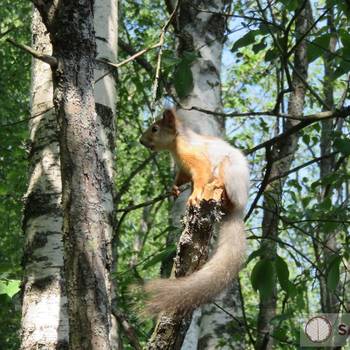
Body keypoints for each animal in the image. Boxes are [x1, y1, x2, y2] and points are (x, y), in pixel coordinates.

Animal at [139, 108, 249, 314]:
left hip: (228, 171)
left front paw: (195, 195)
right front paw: (174, 189)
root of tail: (240, 208)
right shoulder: (183, 168)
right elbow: (180, 178)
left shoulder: (198, 161)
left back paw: (217, 184)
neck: (175, 145)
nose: (141, 141)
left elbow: (200, 177)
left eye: (155, 128)